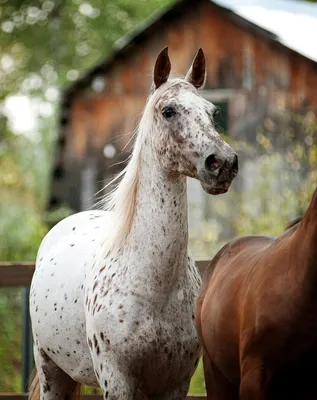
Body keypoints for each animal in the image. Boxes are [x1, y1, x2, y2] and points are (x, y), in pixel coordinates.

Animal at [29, 48, 237, 398]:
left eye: (213, 111)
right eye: (168, 111)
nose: (223, 163)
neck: (154, 287)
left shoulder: (176, 382)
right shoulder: (117, 380)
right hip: (51, 371)